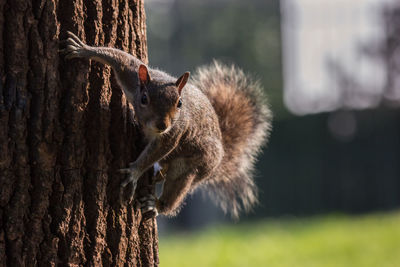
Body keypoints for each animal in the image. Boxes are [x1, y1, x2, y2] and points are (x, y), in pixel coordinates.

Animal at [61, 31, 272, 220]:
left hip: (193, 166)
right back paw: (159, 174)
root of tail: (220, 158)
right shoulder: (131, 75)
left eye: (179, 103)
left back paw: (157, 205)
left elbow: (158, 150)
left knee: (176, 191)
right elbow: (120, 58)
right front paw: (83, 49)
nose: (162, 124)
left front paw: (134, 172)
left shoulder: (174, 132)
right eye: (144, 99)